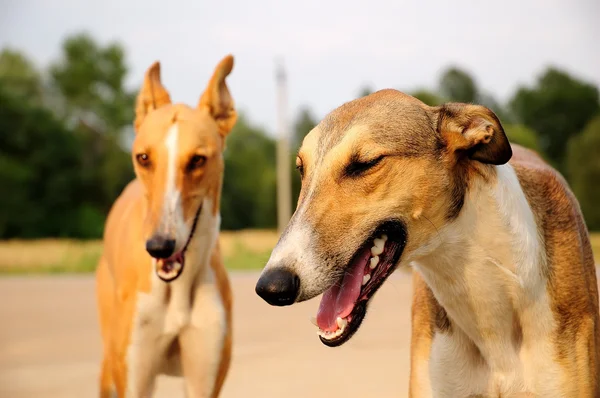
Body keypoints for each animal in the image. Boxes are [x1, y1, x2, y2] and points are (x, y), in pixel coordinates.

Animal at [95, 55, 236, 398]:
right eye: (143, 157)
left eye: (197, 159)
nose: (159, 246)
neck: (177, 289)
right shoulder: (135, 378)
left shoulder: (203, 379)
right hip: (109, 369)